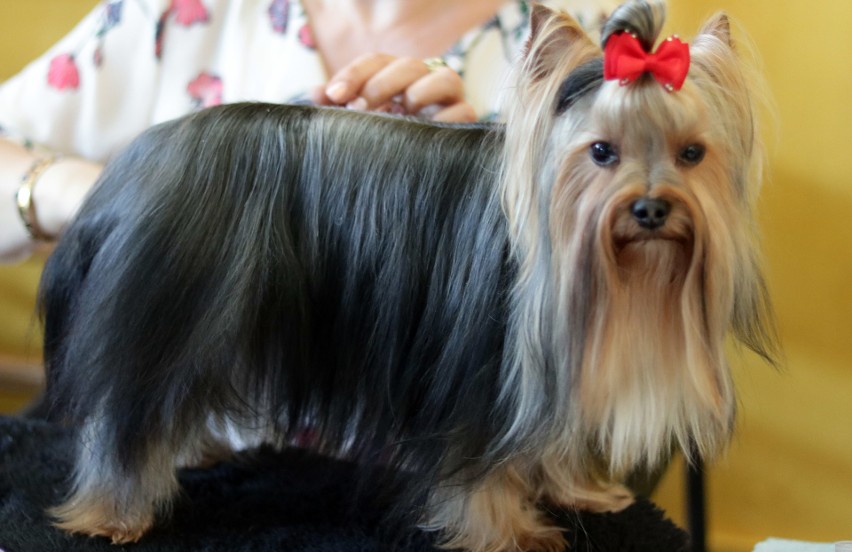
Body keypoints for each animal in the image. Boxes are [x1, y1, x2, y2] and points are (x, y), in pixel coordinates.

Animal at [36, 2, 776, 548]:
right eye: (601, 152)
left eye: (692, 154)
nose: (651, 208)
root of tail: (143, 156)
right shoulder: (480, 377)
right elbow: (480, 473)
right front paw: (507, 532)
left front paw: (578, 489)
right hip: (173, 309)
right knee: (127, 415)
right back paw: (113, 515)